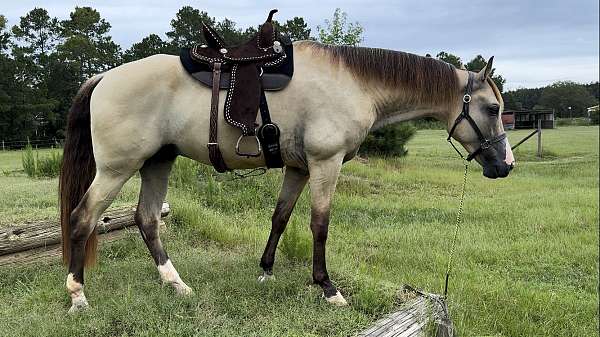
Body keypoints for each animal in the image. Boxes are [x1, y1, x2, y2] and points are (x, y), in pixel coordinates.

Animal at [58, 26, 512, 312]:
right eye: (492, 109)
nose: (506, 165)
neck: (353, 82)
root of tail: (103, 77)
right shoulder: (325, 163)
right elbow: (319, 223)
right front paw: (327, 287)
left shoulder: (298, 169)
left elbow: (280, 216)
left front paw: (265, 272)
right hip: (117, 169)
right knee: (82, 218)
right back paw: (78, 295)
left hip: (157, 162)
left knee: (147, 219)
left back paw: (176, 284)